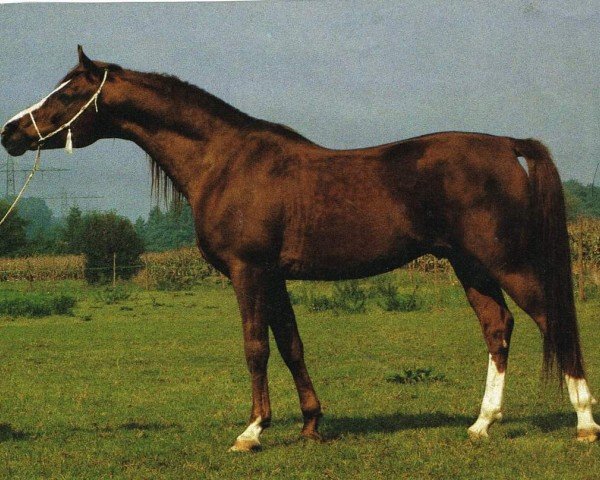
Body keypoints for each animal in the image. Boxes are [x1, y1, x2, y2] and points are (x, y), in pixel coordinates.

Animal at [2, 47, 596, 448]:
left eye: (67, 94)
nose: (11, 133)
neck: (226, 161)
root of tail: (506, 146)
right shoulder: (274, 275)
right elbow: (291, 345)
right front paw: (311, 424)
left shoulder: (248, 271)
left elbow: (256, 347)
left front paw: (252, 431)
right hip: (470, 265)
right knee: (498, 328)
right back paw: (481, 424)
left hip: (506, 262)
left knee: (552, 321)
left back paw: (585, 422)